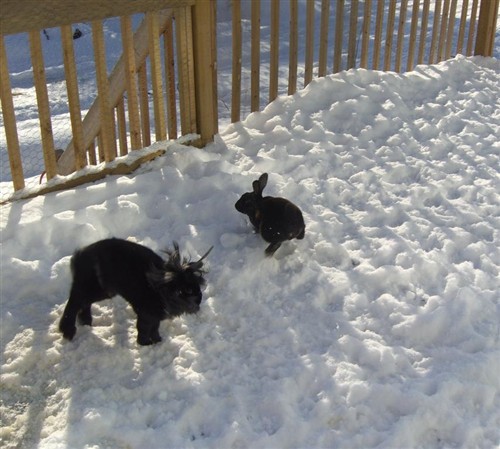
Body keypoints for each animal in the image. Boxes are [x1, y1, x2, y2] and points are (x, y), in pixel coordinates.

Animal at [59, 238, 212, 346]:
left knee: (83, 302)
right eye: (186, 290)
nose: (198, 302)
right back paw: (68, 330)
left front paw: (157, 341)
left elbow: (154, 329)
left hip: (105, 291)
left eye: (197, 288)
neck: (161, 290)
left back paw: (85, 321)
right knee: (75, 300)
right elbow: (143, 329)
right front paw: (145, 344)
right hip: (98, 288)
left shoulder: (154, 317)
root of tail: (79, 255)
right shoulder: (145, 314)